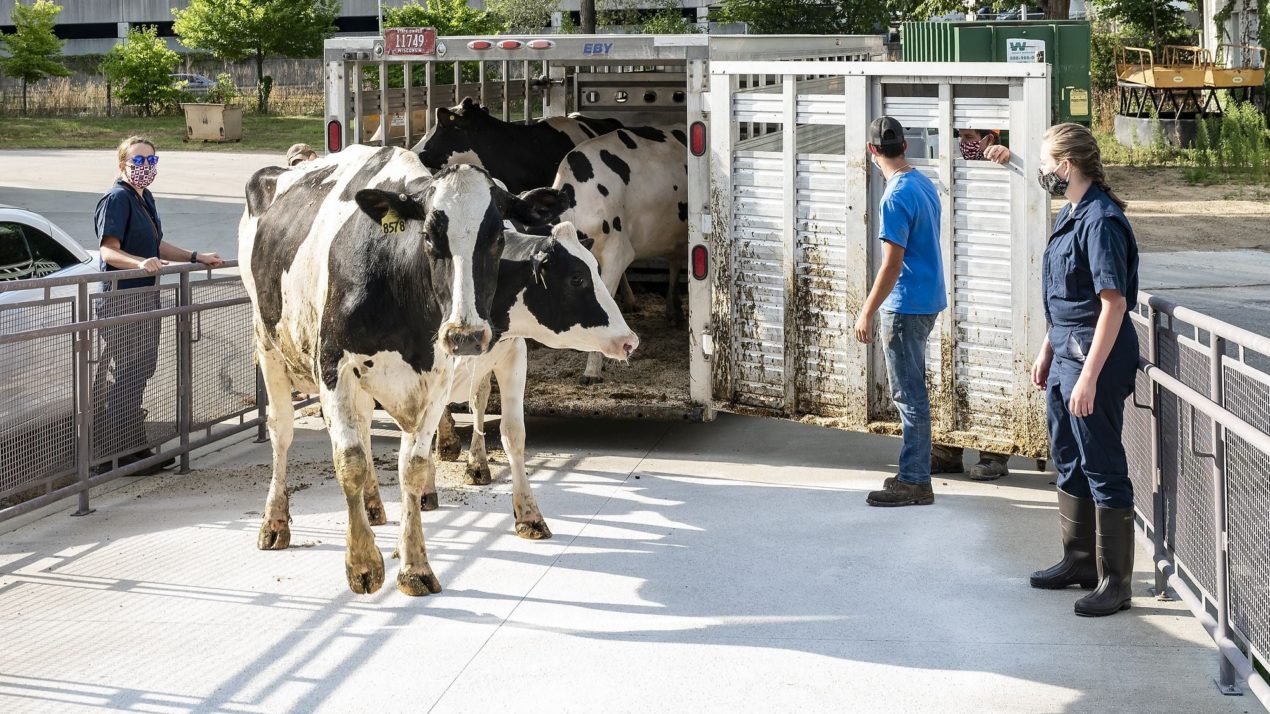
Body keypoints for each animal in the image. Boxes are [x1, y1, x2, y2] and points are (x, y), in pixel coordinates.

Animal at [238, 144, 576, 594]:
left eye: (498, 238)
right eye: (429, 237)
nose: (466, 334)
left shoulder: (436, 378)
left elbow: (412, 468)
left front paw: (415, 565)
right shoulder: (333, 366)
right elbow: (349, 460)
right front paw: (362, 563)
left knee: (364, 427)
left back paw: (373, 504)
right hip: (268, 345)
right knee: (282, 433)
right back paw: (275, 521)